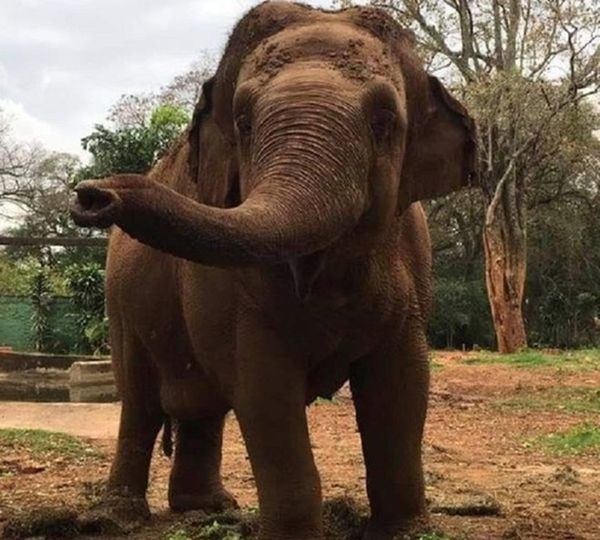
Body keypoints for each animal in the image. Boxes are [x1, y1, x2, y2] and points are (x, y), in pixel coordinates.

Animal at [70, 2, 476, 536]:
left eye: (385, 119)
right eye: (243, 122)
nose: (91, 194)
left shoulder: (411, 274)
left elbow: (403, 382)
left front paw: (407, 530)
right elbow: (262, 386)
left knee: (201, 407)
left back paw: (208, 508)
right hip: (121, 304)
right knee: (140, 402)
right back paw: (116, 518)